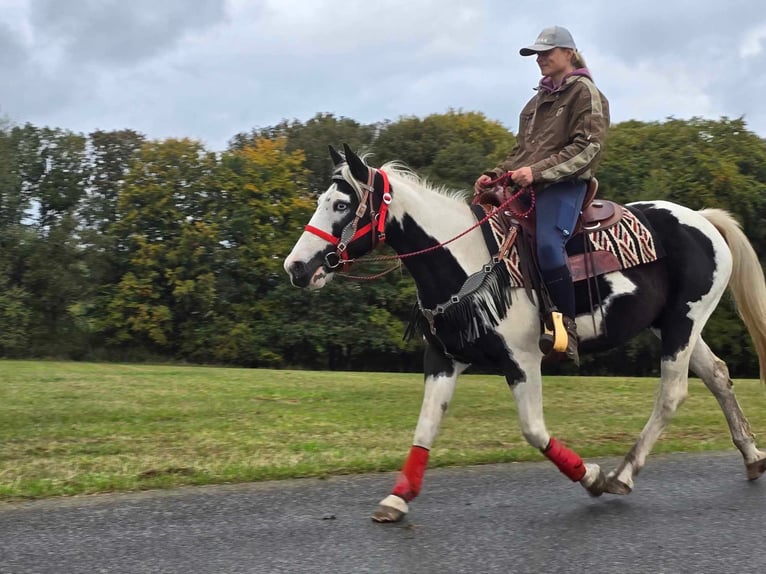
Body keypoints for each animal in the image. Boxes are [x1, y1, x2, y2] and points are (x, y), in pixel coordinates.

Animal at [284, 145, 766, 528]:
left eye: (341, 205)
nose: (297, 268)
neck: (467, 260)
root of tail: (701, 218)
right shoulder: (443, 360)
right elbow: (426, 425)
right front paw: (397, 498)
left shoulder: (522, 361)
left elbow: (534, 431)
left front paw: (592, 477)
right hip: (676, 324)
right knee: (717, 376)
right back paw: (752, 456)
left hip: (684, 323)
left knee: (672, 393)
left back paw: (622, 474)